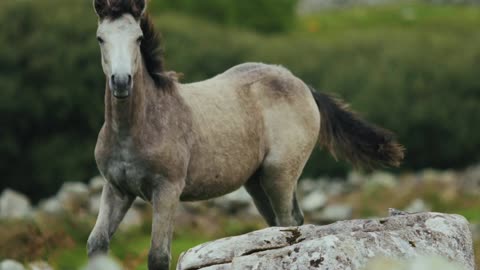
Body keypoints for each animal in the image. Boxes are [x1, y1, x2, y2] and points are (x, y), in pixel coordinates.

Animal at [87, 0, 404, 268]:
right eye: (100, 38)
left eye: (139, 38)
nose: (121, 82)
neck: (136, 129)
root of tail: (301, 84)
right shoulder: (117, 190)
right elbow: (96, 244)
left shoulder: (167, 190)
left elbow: (158, 255)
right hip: (257, 182)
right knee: (283, 223)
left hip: (280, 174)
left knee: (289, 223)